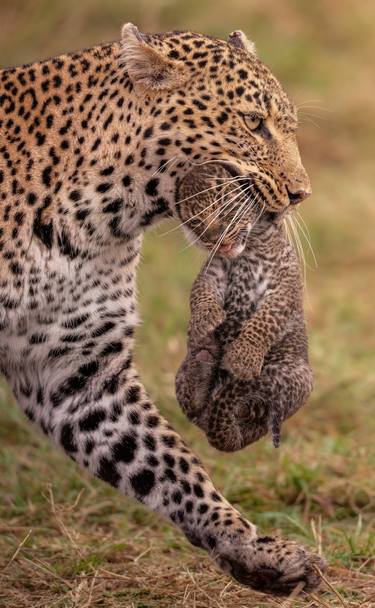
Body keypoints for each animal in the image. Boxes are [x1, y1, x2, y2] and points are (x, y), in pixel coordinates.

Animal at [0, 25, 326, 592]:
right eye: (253, 123)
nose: (300, 194)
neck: (95, 219)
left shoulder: (75, 372)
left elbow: (171, 463)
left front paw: (254, 549)